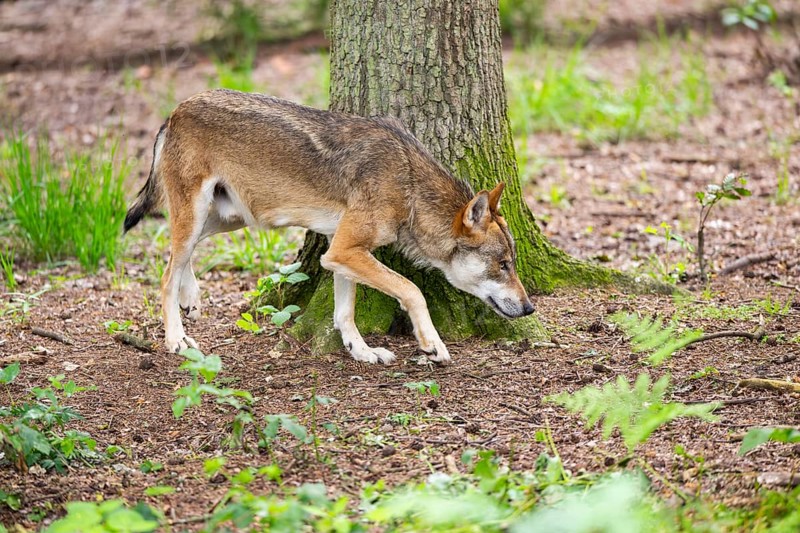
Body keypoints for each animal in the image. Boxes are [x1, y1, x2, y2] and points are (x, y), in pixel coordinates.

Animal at [123, 89, 534, 364]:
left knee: (178, 255)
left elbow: (344, 313)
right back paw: (176, 338)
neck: (408, 185)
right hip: (201, 215)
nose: (530, 308)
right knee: (167, 272)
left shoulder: (339, 252)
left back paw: (191, 298)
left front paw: (362, 351)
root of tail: (176, 110)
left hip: (228, 219)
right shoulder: (345, 250)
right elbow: (412, 290)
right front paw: (432, 344)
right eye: (503, 265)